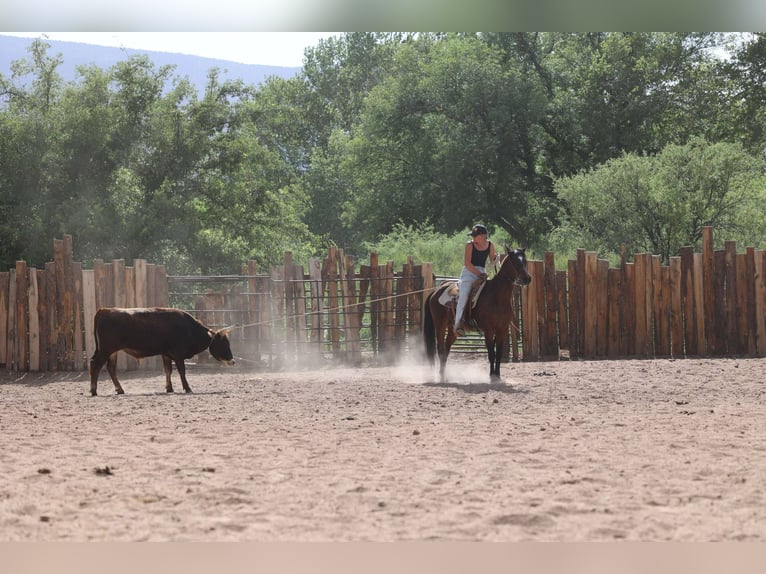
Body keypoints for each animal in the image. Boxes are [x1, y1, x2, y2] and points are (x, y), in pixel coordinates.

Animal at [423, 245, 532, 382]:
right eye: (516, 261)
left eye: (525, 261)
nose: (527, 279)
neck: (497, 296)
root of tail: (436, 291)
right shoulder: (489, 331)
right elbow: (491, 354)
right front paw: (491, 376)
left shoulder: (502, 330)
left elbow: (498, 354)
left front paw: (498, 376)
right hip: (440, 325)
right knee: (441, 349)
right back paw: (441, 377)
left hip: (452, 329)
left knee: (446, 349)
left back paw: (445, 376)